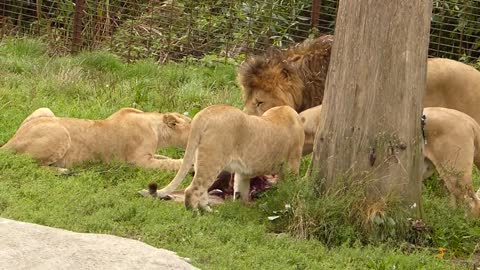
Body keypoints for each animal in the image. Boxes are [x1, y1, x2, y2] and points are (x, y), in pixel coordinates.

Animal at [1, 107, 193, 171]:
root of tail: (10, 142)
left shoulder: (150, 156)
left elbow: (165, 158)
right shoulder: (138, 161)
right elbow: (168, 163)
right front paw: (189, 166)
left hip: (44, 110)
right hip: (61, 133)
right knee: (32, 165)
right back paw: (64, 171)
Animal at [150, 104, 304, 212]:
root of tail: (204, 114)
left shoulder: (243, 173)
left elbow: (241, 190)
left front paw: (242, 207)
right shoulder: (292, 165)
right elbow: (290, 187)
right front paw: (290, 201)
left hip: (200, 159)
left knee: (202, 190)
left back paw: (208, 210)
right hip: (213, 160)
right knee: (192, 189)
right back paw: (195, 213)